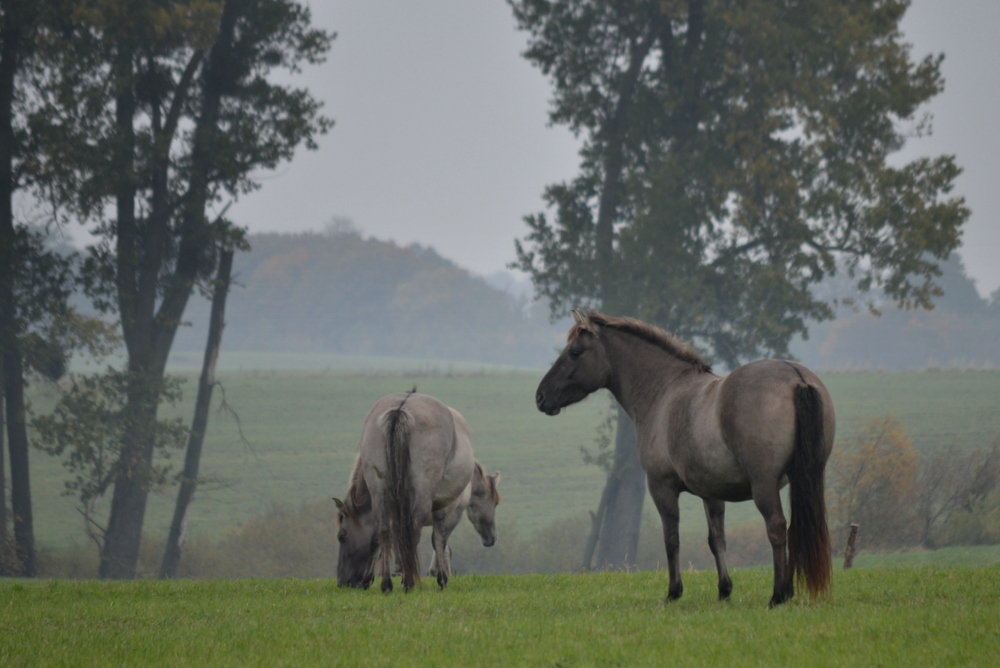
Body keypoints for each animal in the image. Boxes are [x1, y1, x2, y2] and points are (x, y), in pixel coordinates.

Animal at [332, 392, 500, 588]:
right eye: (495, 503)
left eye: (341, 536)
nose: (343, 581)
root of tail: (401, 407)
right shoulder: (450, 510)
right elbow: (439, 541)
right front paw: (440, 575)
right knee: (412, 531)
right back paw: (408, 581)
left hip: (379, 489)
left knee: (384, 530)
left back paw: (387, 584)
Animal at [536, 310, 832, 608]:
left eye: (575, 352)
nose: (540, 396)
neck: (664, 390)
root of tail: (795, 377)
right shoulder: (711, 493)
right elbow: (716, 539)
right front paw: (724, 590)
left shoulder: (661, 487)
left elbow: (672, 539)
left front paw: (674, 591)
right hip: (805, 477)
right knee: (794, 530)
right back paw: (788, 591)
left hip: (764, 485)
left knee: (777, 528)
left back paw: (778, 595)